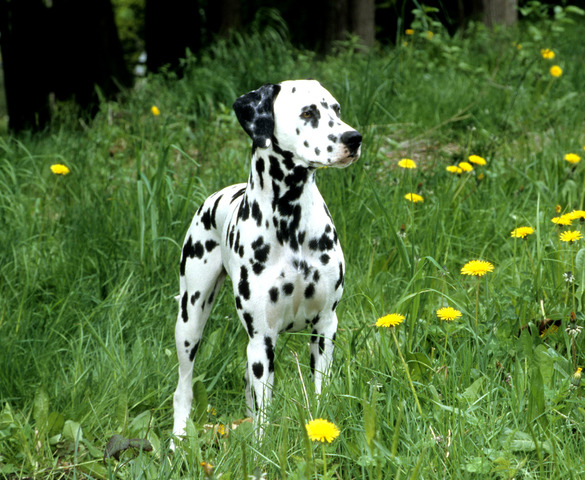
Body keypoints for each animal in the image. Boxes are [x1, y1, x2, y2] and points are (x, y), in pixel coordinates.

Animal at [171, 79, 360, 442]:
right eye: (308, 112)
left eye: (336, 109)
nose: (353, 138)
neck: (291, 223)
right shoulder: (262, 338)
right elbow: (263, 413)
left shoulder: (325, 327)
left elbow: (320, 392)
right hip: (190, 319)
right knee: (183, 388)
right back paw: (178, 441)